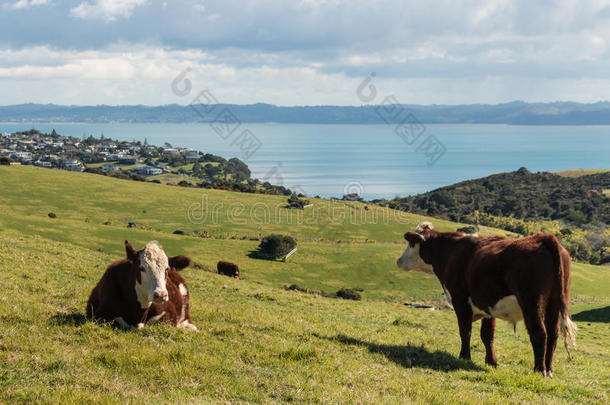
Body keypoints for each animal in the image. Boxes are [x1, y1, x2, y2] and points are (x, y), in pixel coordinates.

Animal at [394, 221, 576, 376]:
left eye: (411, 244)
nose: (398, 261)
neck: (451, 252)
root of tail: (543, 238)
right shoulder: (488, 306)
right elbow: (487, 335)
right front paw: (491, 361)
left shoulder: (461, 300)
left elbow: (465, 330)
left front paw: (464, 357)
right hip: (554, 303)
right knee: (553, 334)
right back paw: (549, 369)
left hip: (532, 302)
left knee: (539, 333)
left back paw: (539, 370)